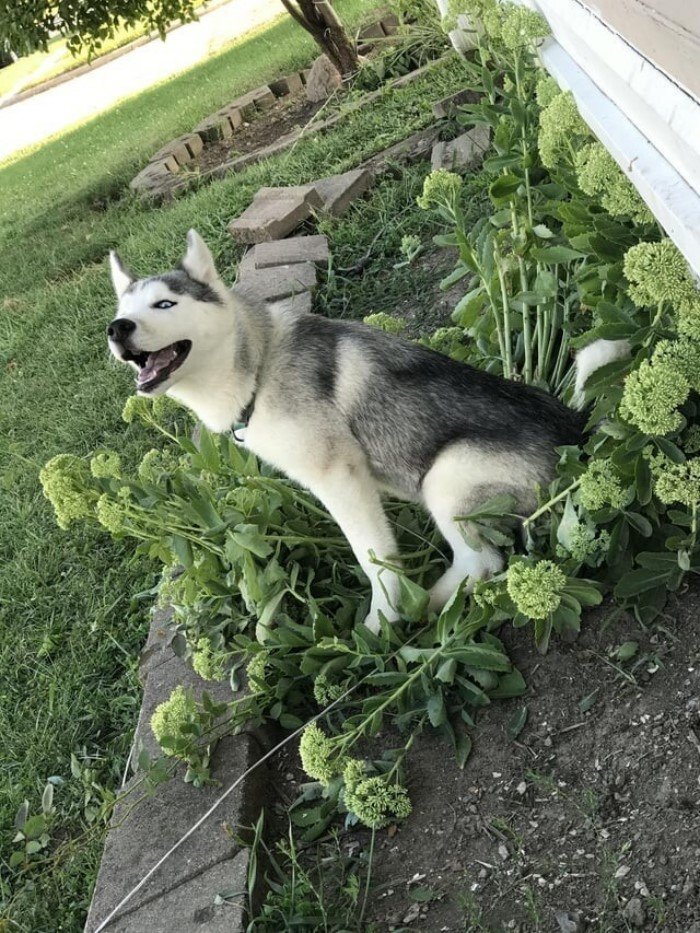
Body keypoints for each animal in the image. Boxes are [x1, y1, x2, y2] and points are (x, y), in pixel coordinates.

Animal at [108, 229, 616, 628]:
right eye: (124, 309)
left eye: (165, 303)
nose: (117, 328)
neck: (260, 367)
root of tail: (576, 432)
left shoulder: (340, 476)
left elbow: (375, 559)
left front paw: (382, 619)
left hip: (445, 478)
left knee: (483, 561)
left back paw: (425, 606)